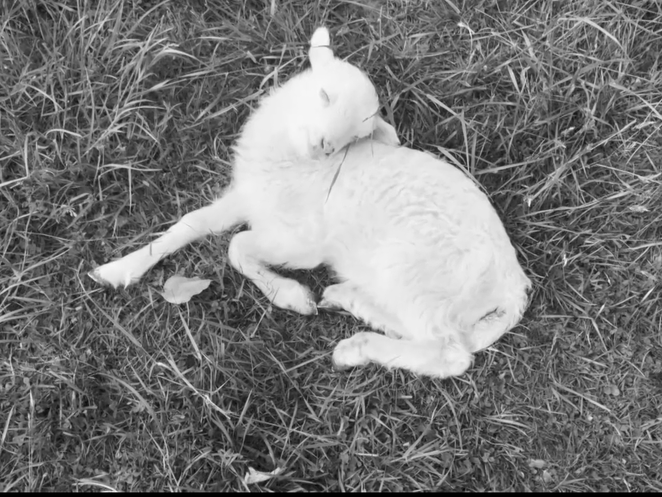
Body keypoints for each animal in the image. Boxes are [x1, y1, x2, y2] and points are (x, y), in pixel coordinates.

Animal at [90, 27, 531, 379]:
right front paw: (116, 270)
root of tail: (512, 290)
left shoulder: (303, 242)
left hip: (415, 272)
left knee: (451, 354)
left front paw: (291, 296)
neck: (293, 160)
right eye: (323, 93)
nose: (324, 146)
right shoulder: (251, 196)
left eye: (358, 135)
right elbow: (190, 223)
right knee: (425, 333)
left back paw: (355, 349)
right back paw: (348, 301)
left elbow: (237, 246)